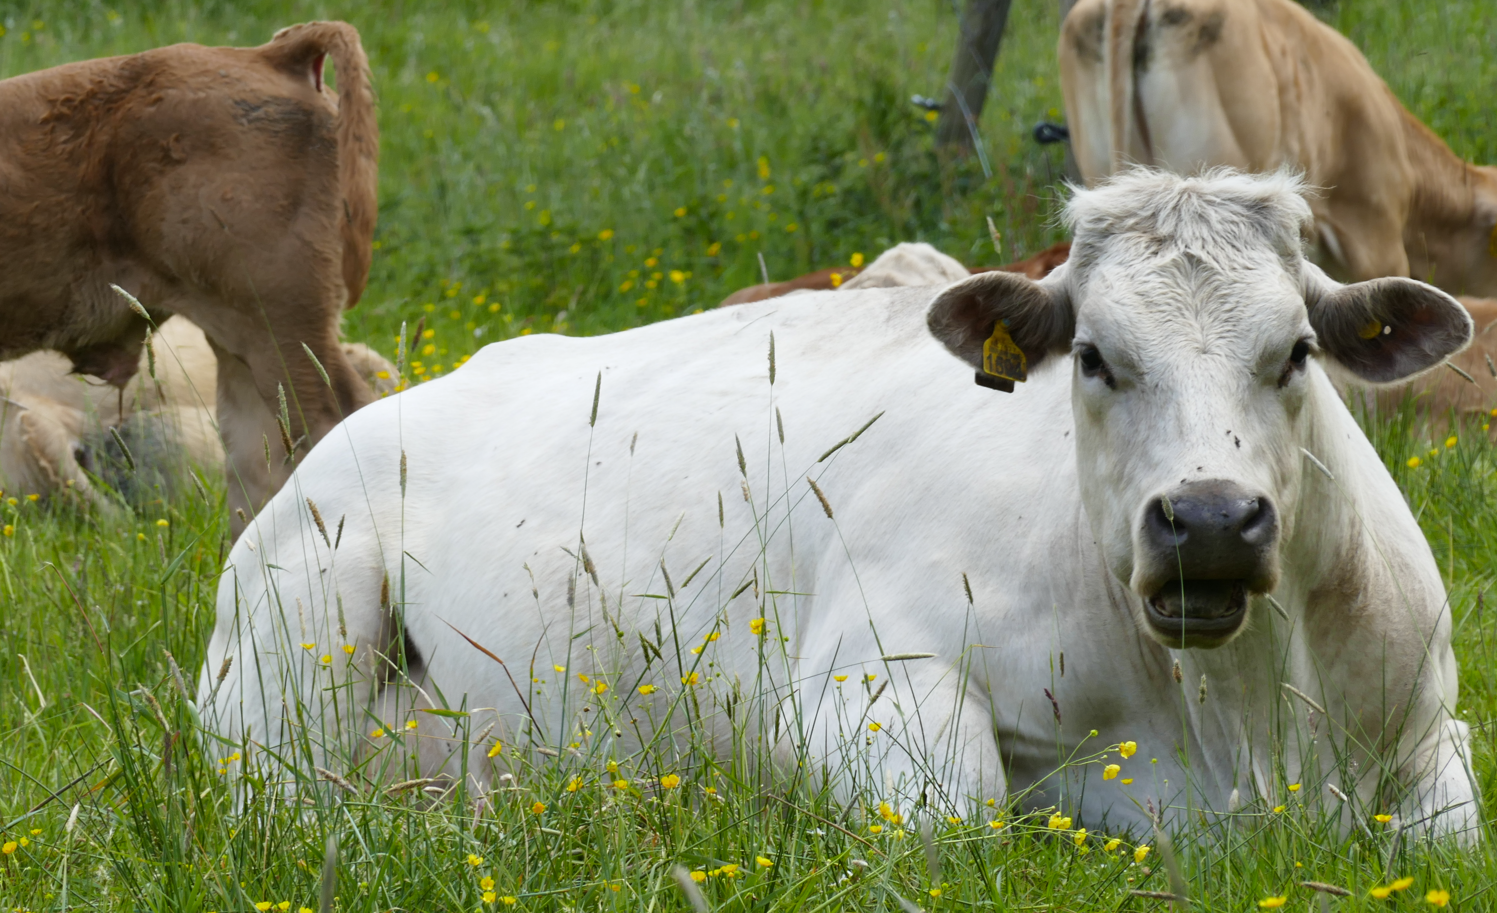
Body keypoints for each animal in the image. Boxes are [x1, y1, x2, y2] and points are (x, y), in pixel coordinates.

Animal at [199, 170, 1475, 840]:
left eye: (1296, 350)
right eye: (1097, 357)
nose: (1208, 520)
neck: (1243, 722)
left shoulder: (1432, 739)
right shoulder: (863, 688)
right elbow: (967, 819)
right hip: (281, 664)